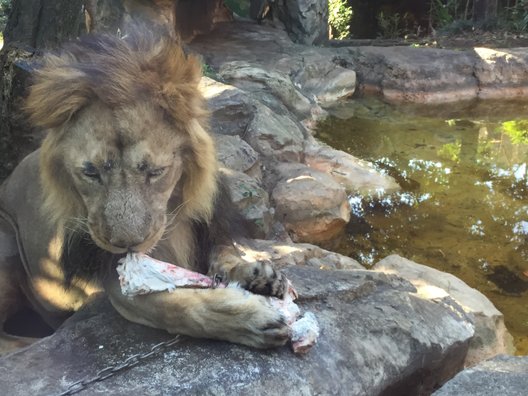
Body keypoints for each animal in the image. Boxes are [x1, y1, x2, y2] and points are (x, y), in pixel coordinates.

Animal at [0, 29, 288, 354]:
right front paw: (250, 320)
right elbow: (179, 308)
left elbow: (225, 253)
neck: (173, 222)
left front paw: (259, 275)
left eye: (156, 171)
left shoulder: (210, 226)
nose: (127, 244)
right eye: (91, 172)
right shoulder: (115, 280)